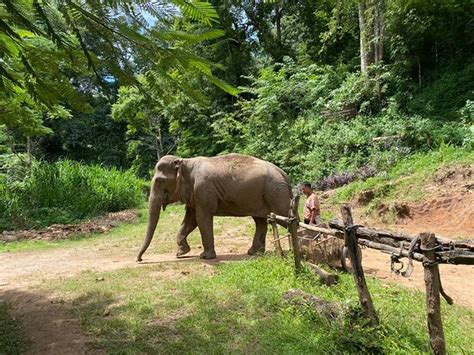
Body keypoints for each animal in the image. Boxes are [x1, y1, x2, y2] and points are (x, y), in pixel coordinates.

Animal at [137, 154, 290, 262]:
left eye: (159, 181)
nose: (139, 259)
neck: (184, 161)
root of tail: (284, 174)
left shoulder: (202, 189)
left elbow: (201, 218)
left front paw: (205, 257)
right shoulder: (194, 194)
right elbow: (190, 220)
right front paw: (181, 253)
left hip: (276, 193)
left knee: (283, 217)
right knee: (259, 221)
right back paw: (254, 253)